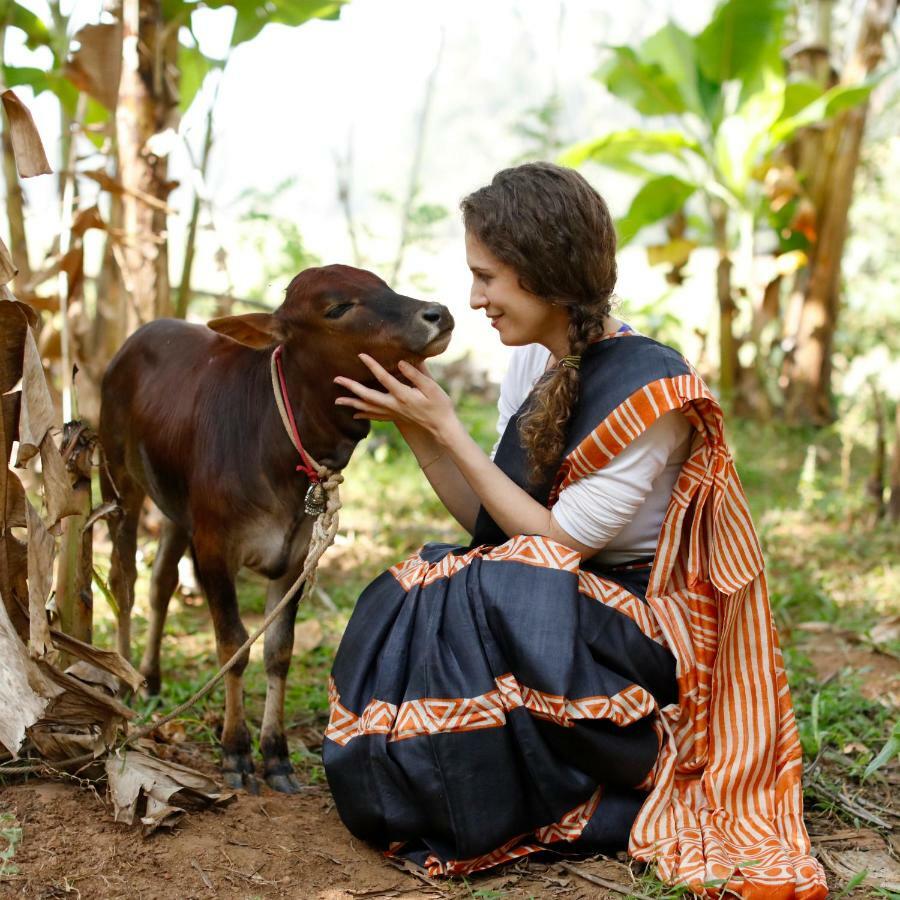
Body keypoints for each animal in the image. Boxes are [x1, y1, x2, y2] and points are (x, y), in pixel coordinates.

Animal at [101, 264, 454, 792]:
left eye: (384, 285)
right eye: (337, 307)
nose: (439, 312)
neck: (278, 445)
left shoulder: (295, 558)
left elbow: (277, 651)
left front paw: (276, 756)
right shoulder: (215, 550)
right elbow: (233, 645)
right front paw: (235, 752)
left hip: (177, 512)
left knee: (161, 581)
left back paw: (152, 679)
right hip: (120, 487)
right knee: (124, 582)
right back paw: (125, 679)